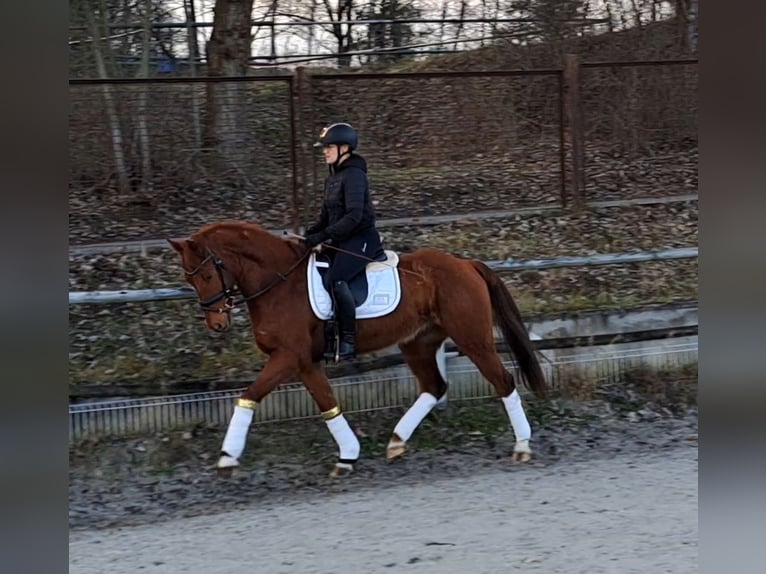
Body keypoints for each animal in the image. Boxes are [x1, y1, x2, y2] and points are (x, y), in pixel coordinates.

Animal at [171, 220, 548, 476]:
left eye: (206, 275)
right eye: (189, 278)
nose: (217, 325)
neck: (278, 283)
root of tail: (465, 263)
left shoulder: (288, 357)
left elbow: (248, 396)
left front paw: (227, 458)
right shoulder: (305, 362)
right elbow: (328, 404)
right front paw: (347, 455)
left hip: (473, 339)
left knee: (503, 382)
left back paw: (522, 446)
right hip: (418, 342)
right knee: (434, 386)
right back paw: (397, 441)